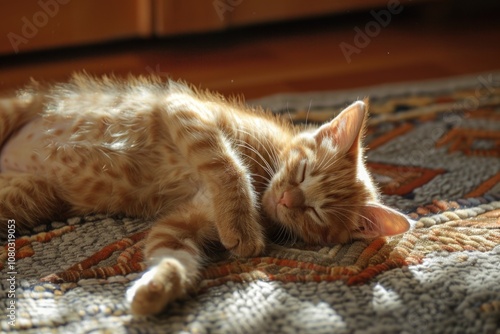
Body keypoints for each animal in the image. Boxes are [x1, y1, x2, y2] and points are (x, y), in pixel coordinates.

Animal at [0, 73, 410, 316]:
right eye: (303, 172)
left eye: (315, 212)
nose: (287, 201)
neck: (264, 176)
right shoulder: (187, 109)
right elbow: (227, 165)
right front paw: (243, 228)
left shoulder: (186, 222)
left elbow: (173, 254)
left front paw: (156, 290)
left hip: (24, 194)